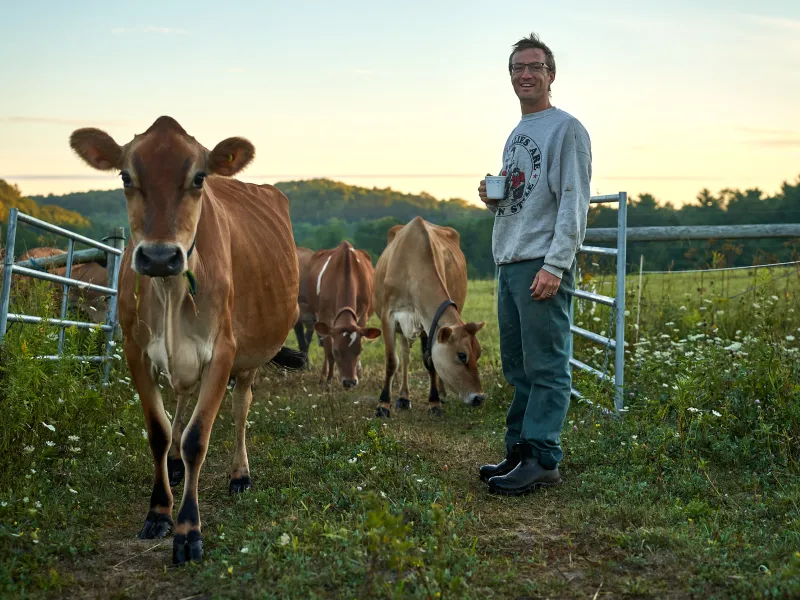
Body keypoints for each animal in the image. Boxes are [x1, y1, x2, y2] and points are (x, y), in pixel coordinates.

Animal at [306, 240, 382, 390]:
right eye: (337, 351)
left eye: (360, 350)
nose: (350, 382)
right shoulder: (325, 316)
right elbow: (328, 351)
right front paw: (328, 379)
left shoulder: (362, 316)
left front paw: (358, 371)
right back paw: (323, 376)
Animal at [370, 216, 488, 418]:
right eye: (462, 355)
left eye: (479, 354)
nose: (479, 397)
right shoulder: (388, 316)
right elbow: (392, 361)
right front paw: (383, 404)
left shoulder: (427, 323)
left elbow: (431, 362)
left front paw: (434, 402)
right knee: (405, 356)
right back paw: (404, 397)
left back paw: (441, 393)